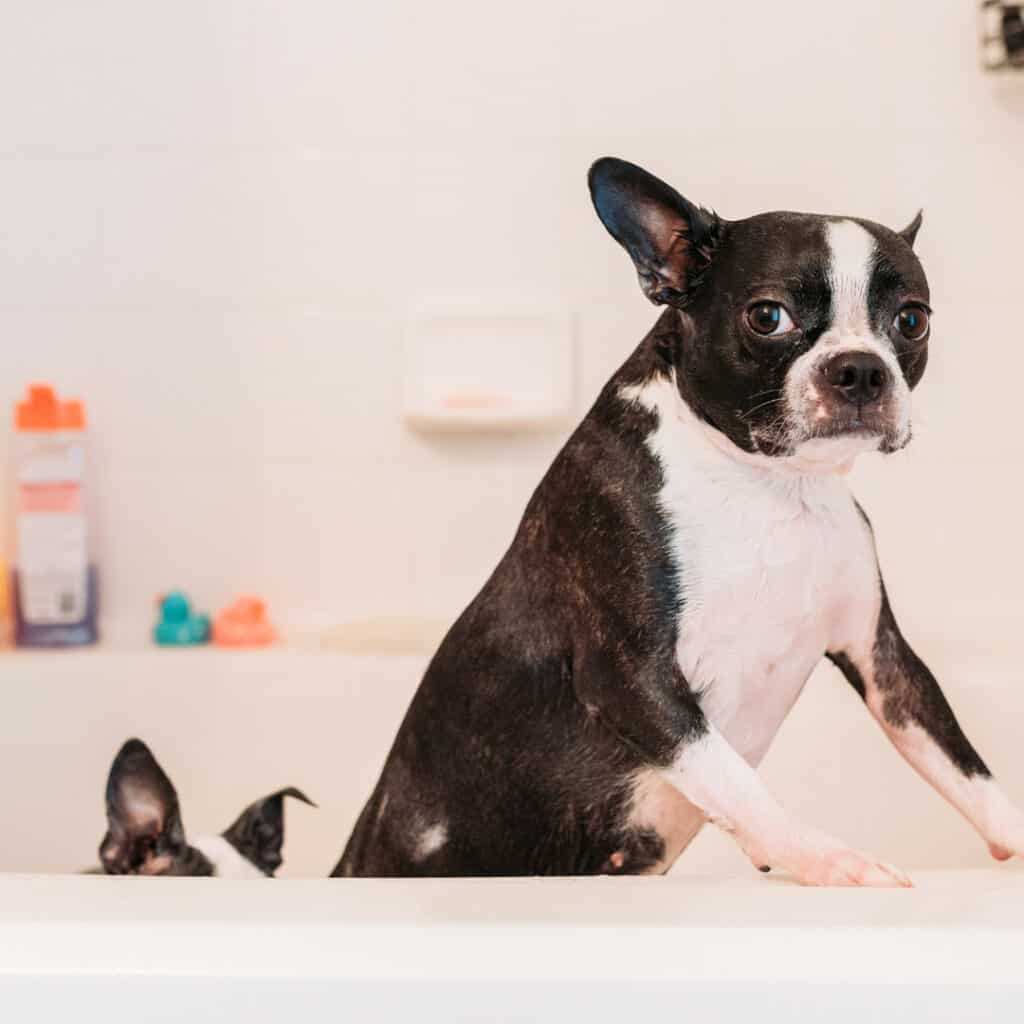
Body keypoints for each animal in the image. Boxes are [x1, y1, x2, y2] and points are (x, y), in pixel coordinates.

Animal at [337, 155, 1024, 884]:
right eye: (767, 316)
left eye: (912, 321)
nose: (861, 369)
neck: (768, 487)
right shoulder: (633, 680)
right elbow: (742, 786)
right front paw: (830, 861)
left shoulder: (885, 663)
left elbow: (964, 765)